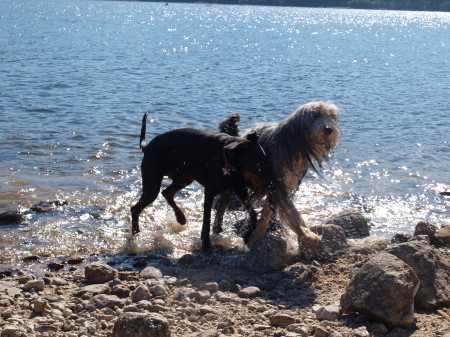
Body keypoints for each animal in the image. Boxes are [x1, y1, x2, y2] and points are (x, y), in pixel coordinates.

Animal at [131, 113, 274, 249]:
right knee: (136, 208)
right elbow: (207, 220)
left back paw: (180, 218)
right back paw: (136, 232)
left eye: (267, 161)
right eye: (258, 165)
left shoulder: (237, 190)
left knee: (166, 193)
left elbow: (252, 213)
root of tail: (147, 147)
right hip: (153, 184)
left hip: (184, 178)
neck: (227, 162)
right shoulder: (210, 192)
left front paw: (248, 234)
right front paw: (206, 243)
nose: (272, 183)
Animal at [215, 101, 342, 245]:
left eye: (331, 116)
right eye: (315, 115)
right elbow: (290, 211)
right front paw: (306, 233)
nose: (328, 129)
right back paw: (217, 228)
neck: (292, 146)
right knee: (221, 205)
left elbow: (270, 211)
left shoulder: (287, 183)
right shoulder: (277, 183)